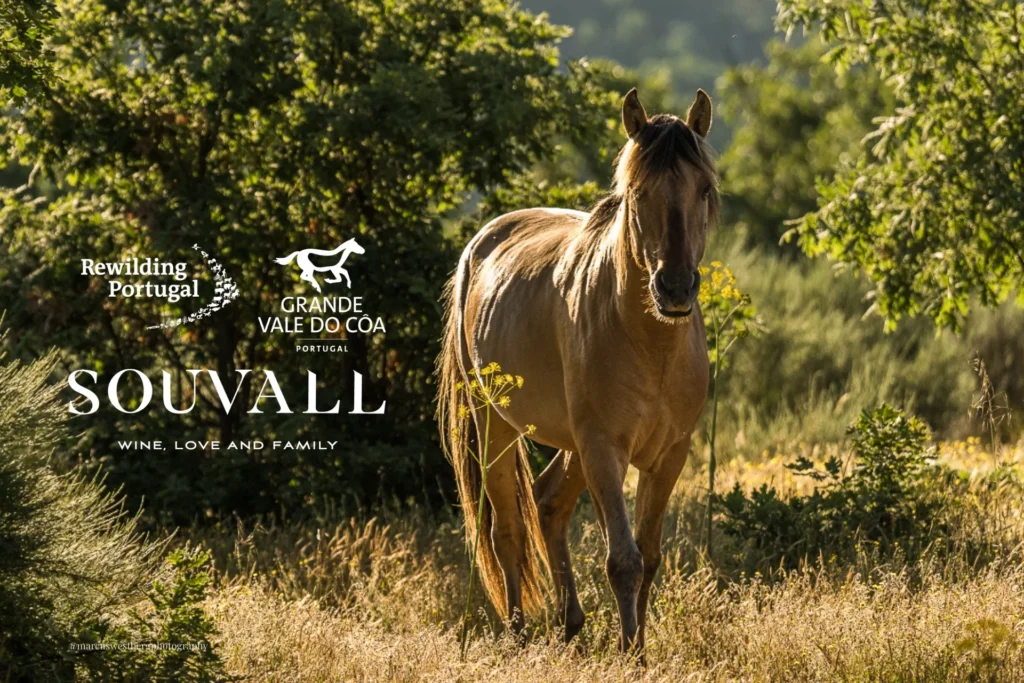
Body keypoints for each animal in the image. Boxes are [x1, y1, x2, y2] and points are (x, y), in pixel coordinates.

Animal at [437, 87, 719, 655]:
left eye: (703, 189)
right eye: (637, 192)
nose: (675, 288)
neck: (651, 343)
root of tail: (480, 245)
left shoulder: (669, 455)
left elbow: (649, 556)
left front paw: (640, 643)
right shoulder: (604, 448)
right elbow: (623, 559)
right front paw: (631, 653)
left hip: (572, 443)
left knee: (548, 504)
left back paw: (570, 625)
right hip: (496, 424)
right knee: (507, 532)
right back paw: (519, 634)